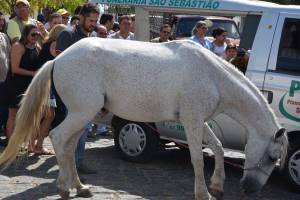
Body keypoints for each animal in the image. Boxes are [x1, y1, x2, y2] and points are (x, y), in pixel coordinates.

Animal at [0, 38, 288, 199]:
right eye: (271, 157)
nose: (250, 189)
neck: (211, 74)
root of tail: (58, 59)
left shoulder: (197, 120)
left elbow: (217, 147)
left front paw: (217, 186)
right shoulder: (193, 121)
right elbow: (197, 158)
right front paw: (203, 193)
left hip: (83, 115)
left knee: (69, 147)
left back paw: (80, 187)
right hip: (81, 113)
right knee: (58, 138)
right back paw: (64, 188)